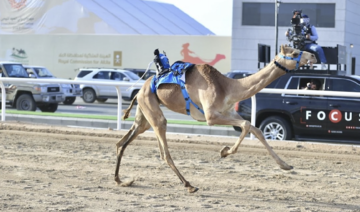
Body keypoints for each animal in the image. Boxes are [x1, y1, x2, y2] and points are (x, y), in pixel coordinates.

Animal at [114, 44, 316, 192]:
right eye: (295, 52)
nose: (313, 56)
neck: (228, 87)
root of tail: (141, 88)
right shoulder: (211, 115)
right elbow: (246, 124)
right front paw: (225, 151)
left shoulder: (229, 112)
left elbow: (256, 129)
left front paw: (285, 165)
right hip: (152, 111)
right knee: (164, 151)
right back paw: (189, 185)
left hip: (144, 114)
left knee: (122, 142)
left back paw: (120, 180)